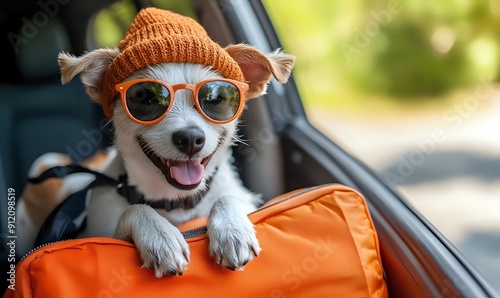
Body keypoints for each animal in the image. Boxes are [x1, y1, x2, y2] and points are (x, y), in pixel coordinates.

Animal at [17, 7, 294, 278]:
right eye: (144, 98)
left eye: (215, 99)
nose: (190, 138)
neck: (176, 203)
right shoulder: (97, 231)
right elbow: (135, 210)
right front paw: (159, 236)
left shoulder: (243, 197)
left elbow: (228, 197)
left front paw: (232, 230)